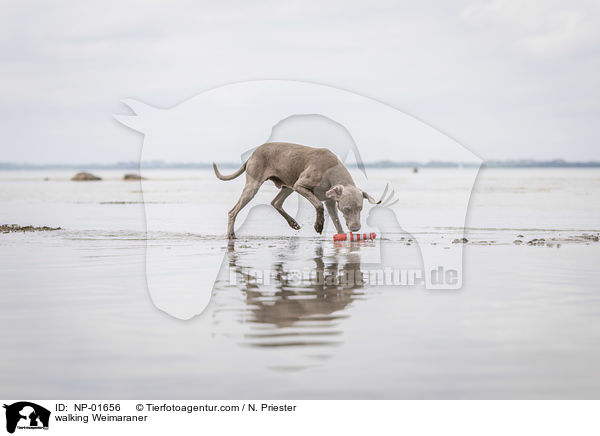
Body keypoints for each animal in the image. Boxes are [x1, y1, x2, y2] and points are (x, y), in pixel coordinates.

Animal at [213, 142, 380, 238]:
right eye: (346, 209)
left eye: (360, 208)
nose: (356, 228)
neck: (331, 170)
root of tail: (252, 154)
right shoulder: (301, 185)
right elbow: (318, 204)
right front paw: (318, 225)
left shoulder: (331, 201)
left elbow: (336, 221)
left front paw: (343, 236)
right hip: (256, 185)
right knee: (233, 211)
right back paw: (230, 234)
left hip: (288, 184)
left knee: (276, 202)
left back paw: (293, 223)